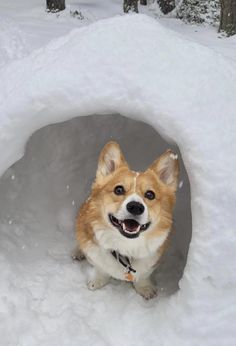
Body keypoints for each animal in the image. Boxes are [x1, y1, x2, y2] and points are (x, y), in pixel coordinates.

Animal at [74, 142, 179, 298]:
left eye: (150, 194)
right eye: (118, 190)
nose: (135, 207)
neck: (126, 246)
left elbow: (144, 275)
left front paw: (145, 288)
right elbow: (100, 268)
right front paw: (97, 281)